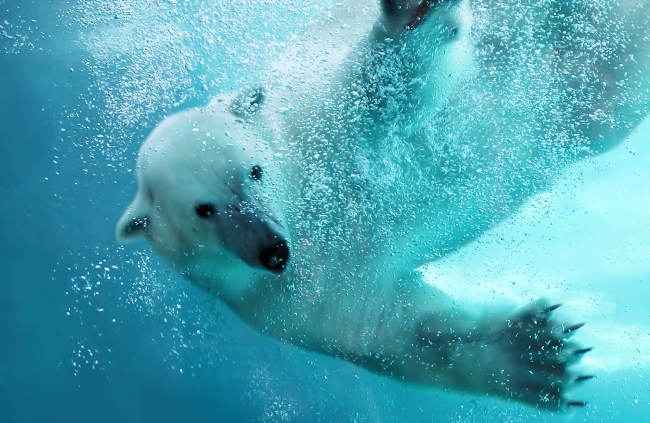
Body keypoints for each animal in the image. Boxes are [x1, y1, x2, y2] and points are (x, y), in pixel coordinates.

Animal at [116, 0, 649, 410]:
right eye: (204, 210)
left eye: (254, 171)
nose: (274, 250)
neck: (305, 203)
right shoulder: (289, 300)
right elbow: (396, 330)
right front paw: (537, 355)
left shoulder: (322, 121)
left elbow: (388, 86)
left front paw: (411, 14)